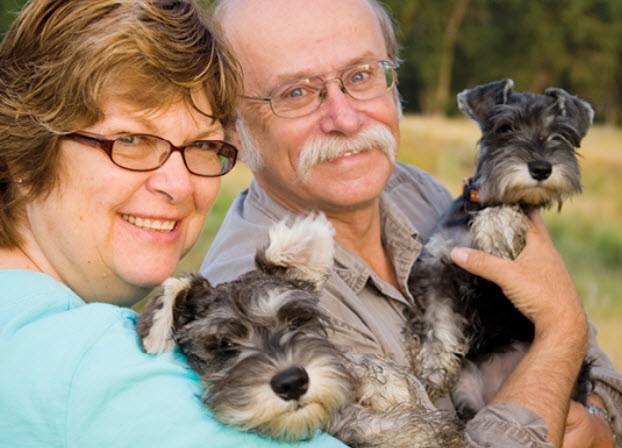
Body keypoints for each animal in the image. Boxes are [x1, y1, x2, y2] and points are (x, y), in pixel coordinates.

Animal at [408, 79, 596, 418]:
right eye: (506, 128)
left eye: (561, 133)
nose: (540, 168)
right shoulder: (438, 270)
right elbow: (437, 323)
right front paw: (432, 369)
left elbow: (513, 205)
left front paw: (496, 231)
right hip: (467, 391)